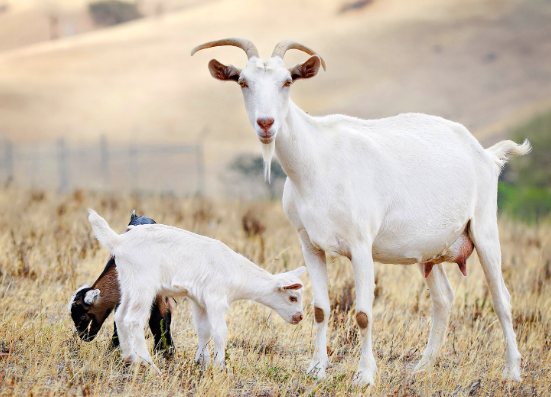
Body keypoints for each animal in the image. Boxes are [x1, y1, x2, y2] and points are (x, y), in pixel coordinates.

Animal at [193, 38, 532, 386]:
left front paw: (365, 376)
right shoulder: (309, 244)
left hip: (484, 228)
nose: (266, 123)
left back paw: (512, 371)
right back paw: (423, 367)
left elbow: (363, 313)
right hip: (428, 251)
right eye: (243, 82)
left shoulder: (360, 245)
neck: (318, 163)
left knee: (501, 298)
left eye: (287, 81)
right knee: (444, 299)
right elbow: (321, 309)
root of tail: (487, 155)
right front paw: (317, 369)